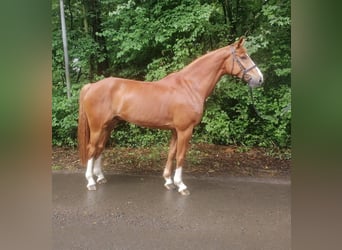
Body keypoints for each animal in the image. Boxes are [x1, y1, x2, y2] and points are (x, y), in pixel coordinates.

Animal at [78, 36, 264, 194]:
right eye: (243, 57)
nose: (260, 79)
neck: (190, 86)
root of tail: (92, 86)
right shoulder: (185, 130)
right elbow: (181, 156)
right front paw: (181, 185)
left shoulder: (175, 130)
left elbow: (172, 153)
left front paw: (168, 181)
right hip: (97, 127)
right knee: (92, 148)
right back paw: (90, 182)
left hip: (108, 126)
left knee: (100, 148)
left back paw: (100, 177)